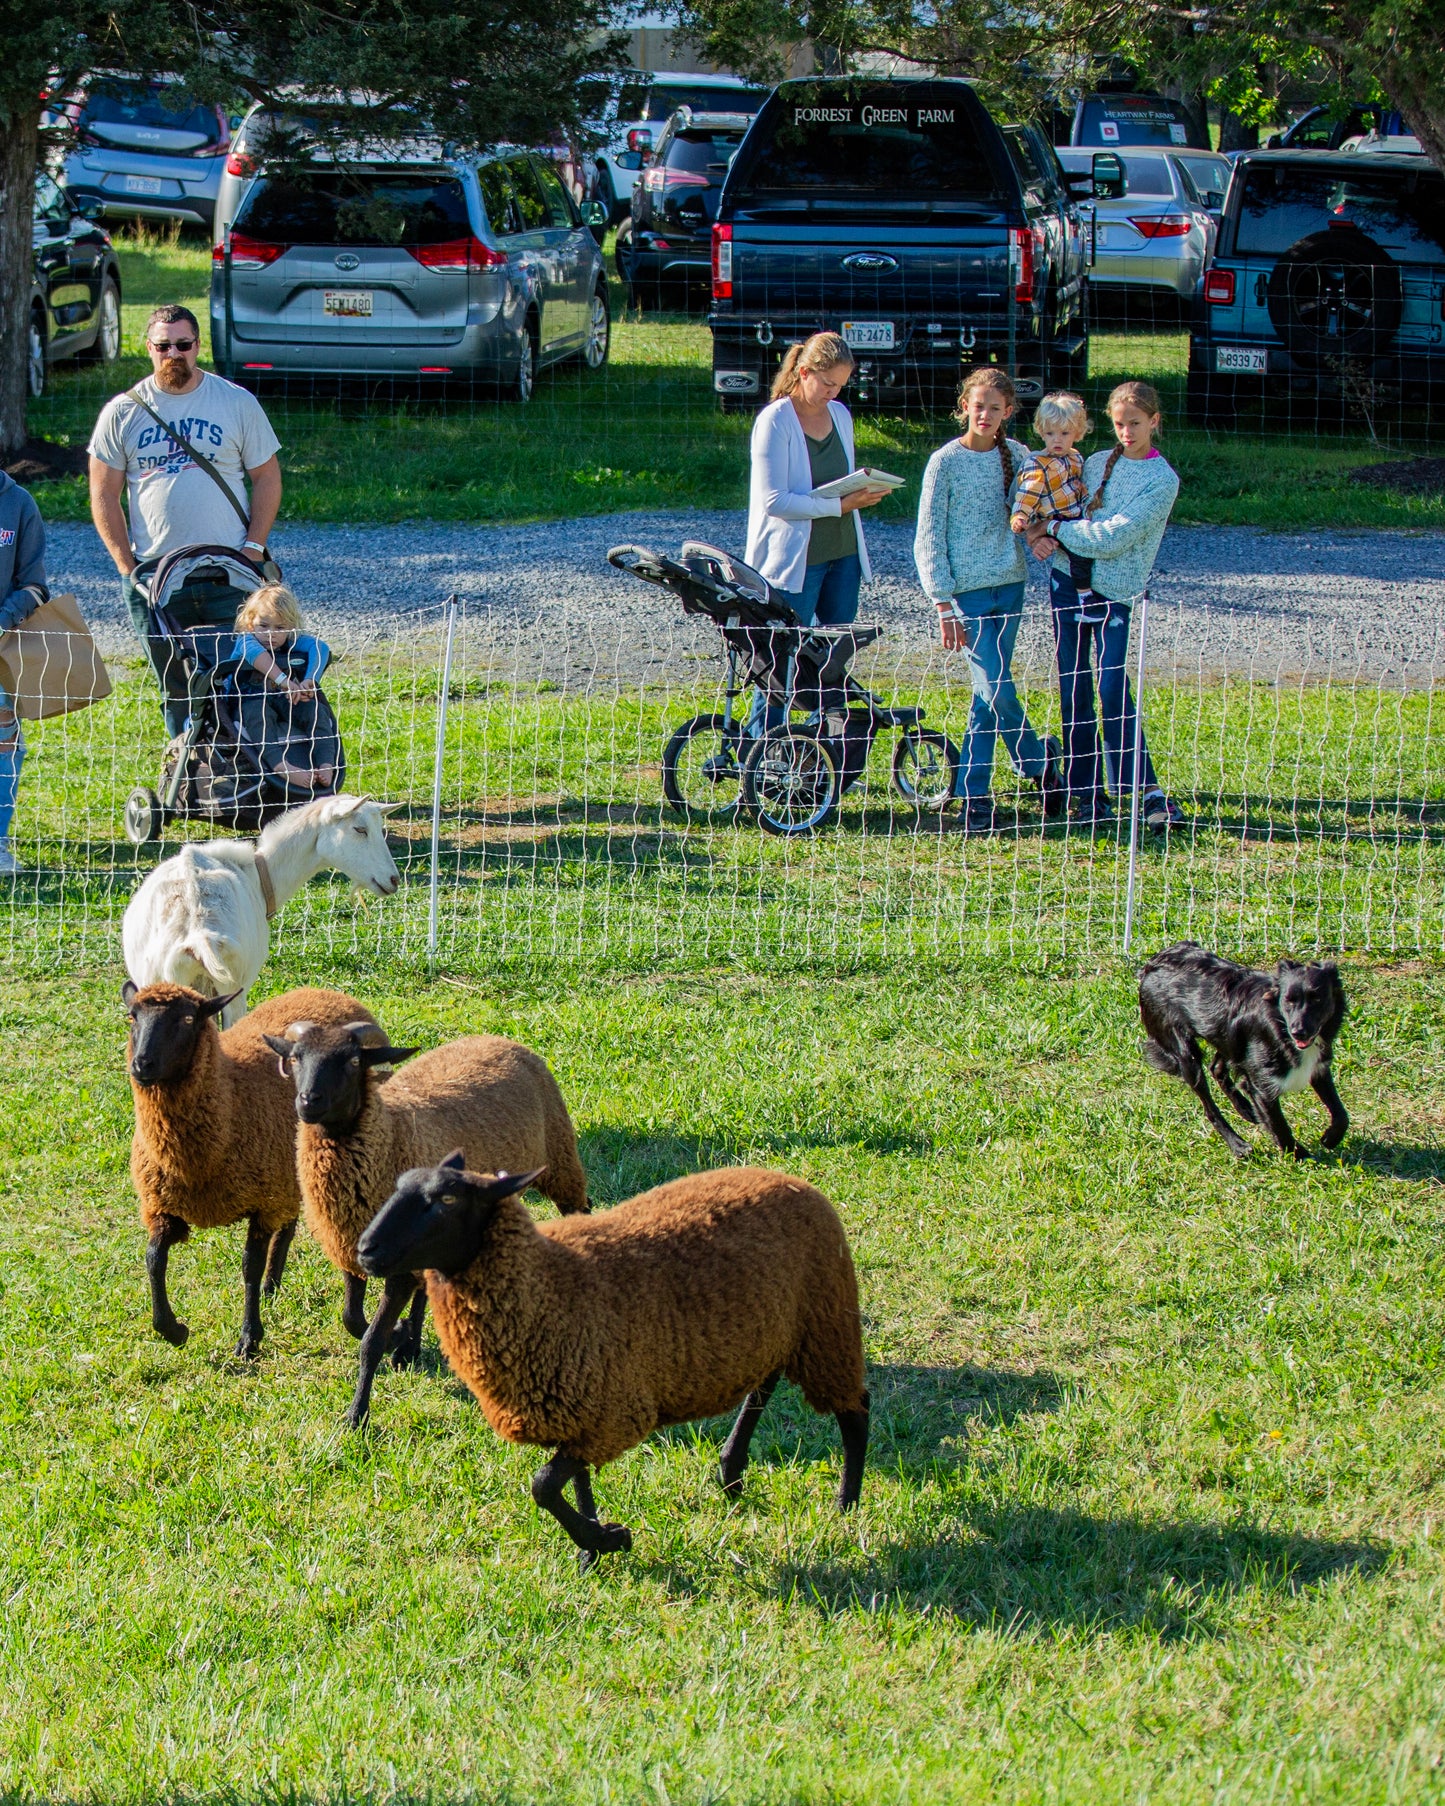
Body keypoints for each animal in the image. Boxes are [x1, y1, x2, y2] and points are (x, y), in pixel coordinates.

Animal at [124, 989, 381, 1358]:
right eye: (132, 1016)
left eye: (187, 1019)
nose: (142, 1065)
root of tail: (328, 992)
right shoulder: (162, 1206)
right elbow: (153, 1259)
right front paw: (172, 1329)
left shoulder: (264, 1202)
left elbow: (249, 1266)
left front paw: (249, 1338)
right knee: (288, 1227)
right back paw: (271, 1287)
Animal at [357, 1155, 870, 1567]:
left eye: (446, 1198)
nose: (366, 1249)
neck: (549, 1284)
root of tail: (795, 1182)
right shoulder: (578, 1406)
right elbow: (576, 1483)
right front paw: (592, 1546)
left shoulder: (615, 1415)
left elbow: (544, 1486)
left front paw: (609, 1540)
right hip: (775, 1331)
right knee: (764, 1386)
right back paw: (731, 1472)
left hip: (828, 1323)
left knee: (856, 1410)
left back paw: (846, 1504)